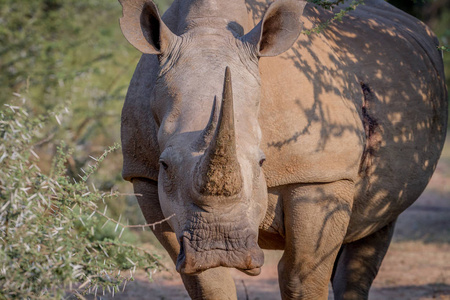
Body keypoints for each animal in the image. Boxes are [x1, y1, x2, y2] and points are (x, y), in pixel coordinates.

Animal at [118, 0, 448, 298]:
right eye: (165, 164)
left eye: (262, 162)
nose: (219, 247)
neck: (209, 29)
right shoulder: (144, 174)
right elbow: (208, 282)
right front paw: (211, 268)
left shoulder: (320, 174)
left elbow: (301, 278)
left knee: (375, 227)